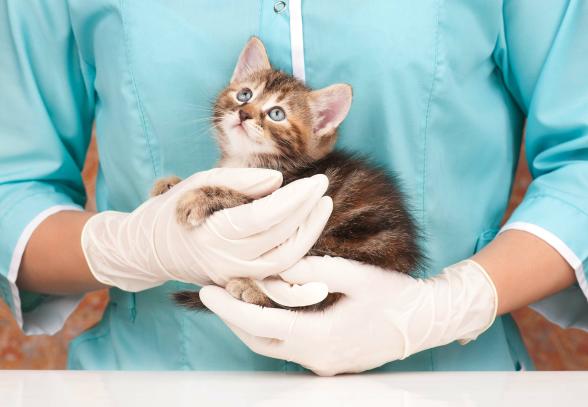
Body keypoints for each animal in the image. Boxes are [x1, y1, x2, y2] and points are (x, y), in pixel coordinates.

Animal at [153, 38, 422, 312]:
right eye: (245, 94)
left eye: (277, 114)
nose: (244, 113)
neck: (244, 162)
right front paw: (168, 185)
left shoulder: (285, 199)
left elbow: (239, 198)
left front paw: (197, 197)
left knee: (310, 297)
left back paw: (251, 289)